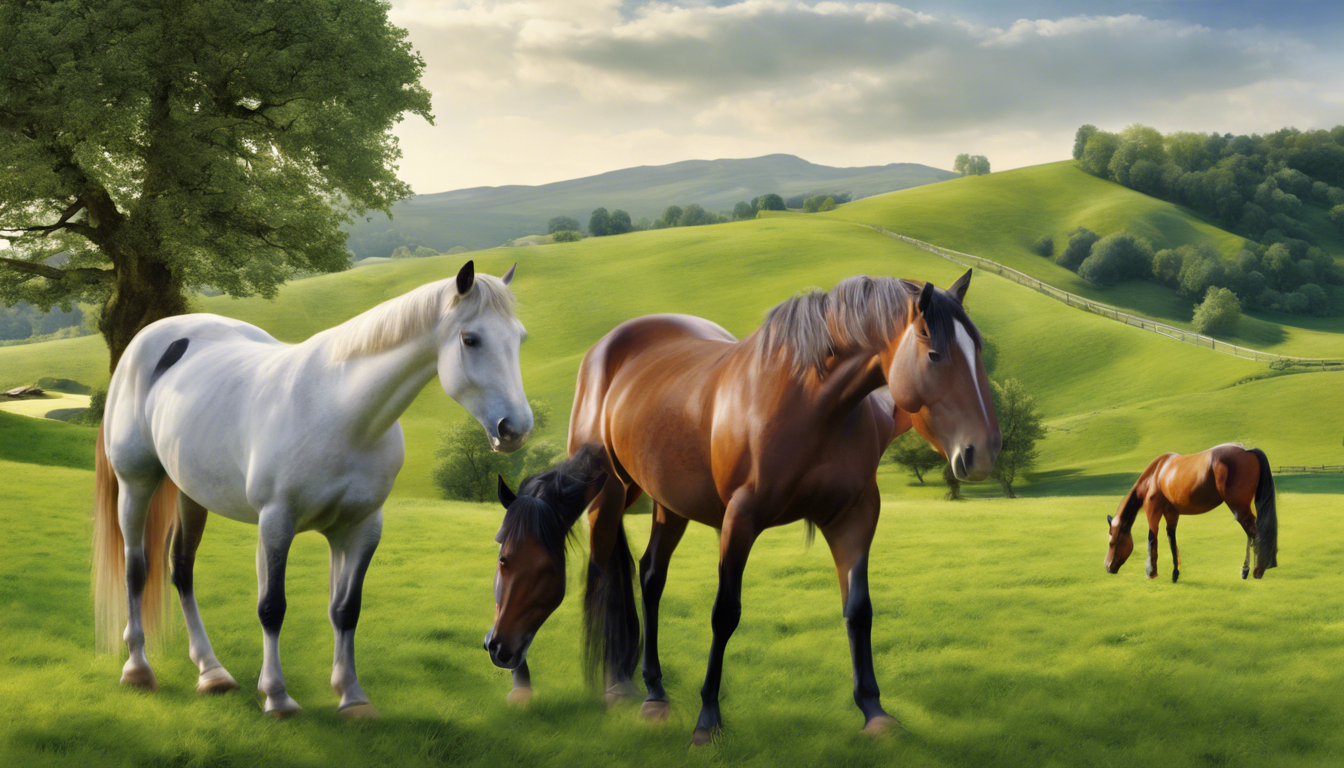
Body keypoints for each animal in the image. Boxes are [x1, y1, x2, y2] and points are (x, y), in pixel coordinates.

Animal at [95, 260, 532, 718]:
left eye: (518, 337)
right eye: (470, 339)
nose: (515, 429)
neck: (341, 412)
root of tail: (151, 336)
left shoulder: (360, 528)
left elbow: (345, 610)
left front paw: (352, 696)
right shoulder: (276, 523)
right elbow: (272, 607)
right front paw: (277, 696)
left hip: (191, 492)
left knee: (181, 568)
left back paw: (212, 673)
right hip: (136, 482)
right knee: (137, 568)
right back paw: (138, 670)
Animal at [484, 271, 1001, 744]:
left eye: (978, 351)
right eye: (935, 354)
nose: (983, 453)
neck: (811, 403)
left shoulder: (853, 516)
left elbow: (858, 610)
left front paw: (873, 710)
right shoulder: (741, 519)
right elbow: (725, 613)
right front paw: (707, 719)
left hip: (668, 502)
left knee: (650, 577)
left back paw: (654, 692)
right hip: (610, 493)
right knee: (603, 573)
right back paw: (616, 685)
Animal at [1104, 444, 1277, 582]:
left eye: (1113, 542)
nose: (1107, 567)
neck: (1156, 474)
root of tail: (1247, 450)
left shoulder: (1153, 511)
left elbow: (1152, 538)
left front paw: (1151, 572)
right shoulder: (1171, 514)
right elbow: (1172, 540)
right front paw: (1175, 573)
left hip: (1239, 508)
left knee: (1253, 531)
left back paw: (1252, 570)